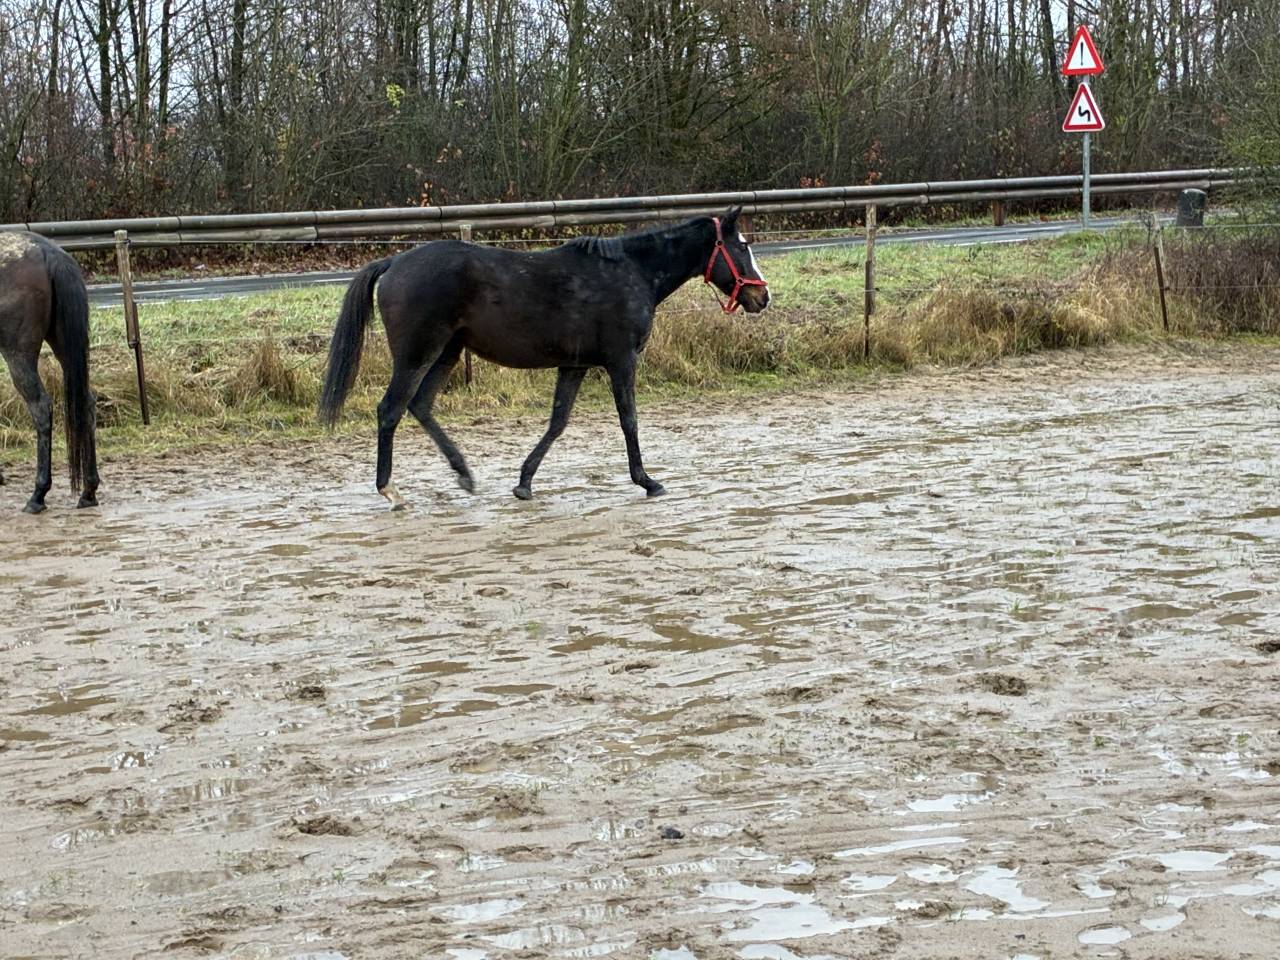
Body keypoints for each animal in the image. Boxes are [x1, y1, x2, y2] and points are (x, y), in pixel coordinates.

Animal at [0, 232, 99, 513]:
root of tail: (47, 251)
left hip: (18, 354)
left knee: (41, 407)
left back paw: (38, 494)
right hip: (64, 345)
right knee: (86, 403)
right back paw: (88, 491)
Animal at [318, 206, 769, 509]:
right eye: (741, 247)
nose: (762, 297)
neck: (632, 272)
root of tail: (394, 261)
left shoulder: (575, 364)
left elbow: (557, 422)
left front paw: (524, 482)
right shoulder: (621, 360)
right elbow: (629, 420)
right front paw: (648, 481)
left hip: (449, 351)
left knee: (420, 406)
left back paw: (464, 475)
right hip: (418, 353)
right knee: (390, 409)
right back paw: (390, 490)